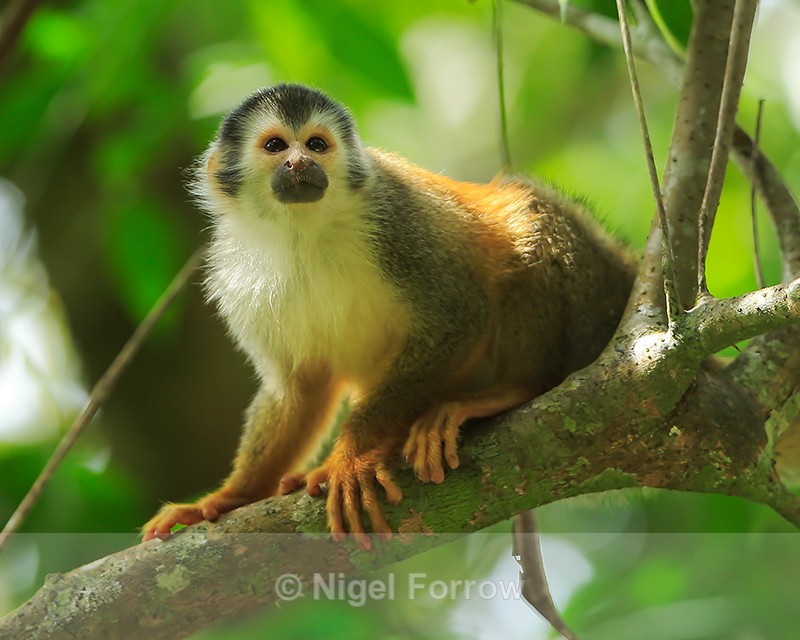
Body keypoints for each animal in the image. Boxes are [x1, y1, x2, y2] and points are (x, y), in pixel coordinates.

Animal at [142, 83, 638, 550]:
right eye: (276, 146)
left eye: (316, 144)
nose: (300, 163)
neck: (303, 229)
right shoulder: (233, 272)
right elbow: (298, 386)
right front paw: (230, 497)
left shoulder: (395, 214)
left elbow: (460, 316)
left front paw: (352, 452)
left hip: (592, 299)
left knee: (526, 214)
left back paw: (511, 390)